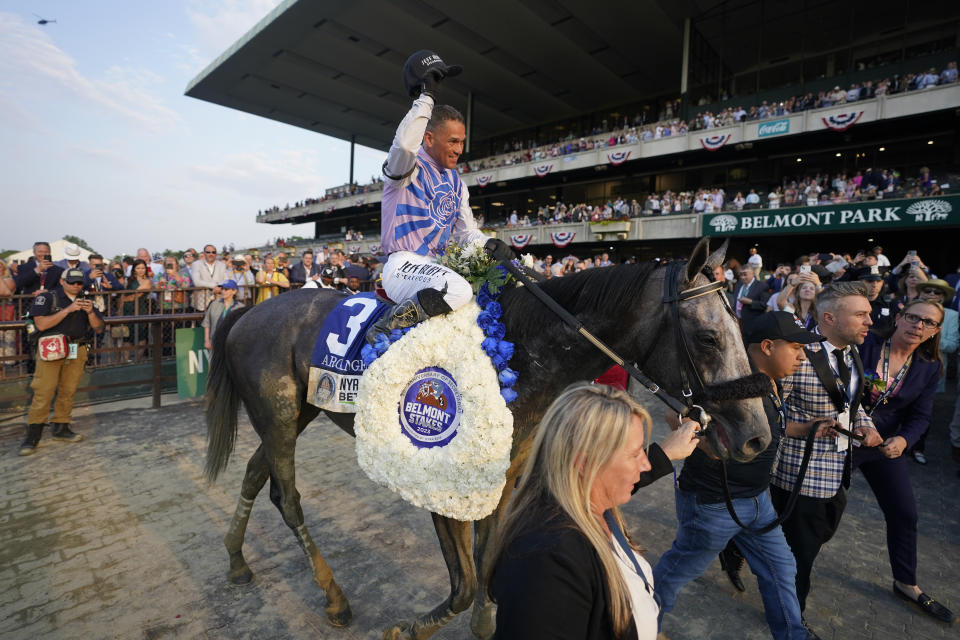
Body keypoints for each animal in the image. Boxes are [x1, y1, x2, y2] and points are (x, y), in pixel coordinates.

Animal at [206, 238, 768, 636]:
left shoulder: (506, 476)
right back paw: (334, 597)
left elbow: (487, 571)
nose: (757, 437)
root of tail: (250, 310)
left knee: (255, 475)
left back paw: (235, 561)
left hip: (293, 414)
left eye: (742, 330)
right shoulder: (441, 482)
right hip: (278, 416)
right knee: (287, 497)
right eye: (709, 338)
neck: (521, 350)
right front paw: (406, 630)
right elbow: (464, 586)